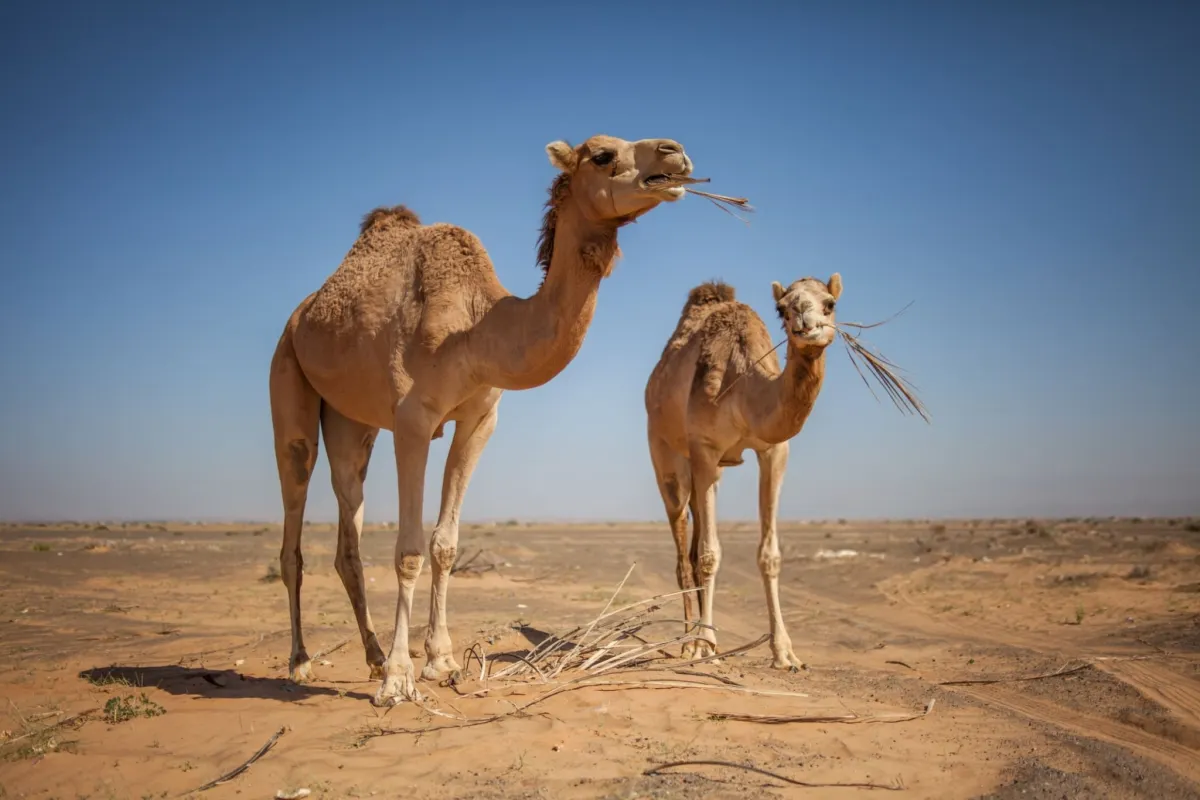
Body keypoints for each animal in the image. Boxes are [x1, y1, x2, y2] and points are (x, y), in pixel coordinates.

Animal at [269, 134, 695, 706]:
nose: (675, 154)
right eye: (603, 155)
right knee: (294, 519)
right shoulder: (413, 420)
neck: (475, 328)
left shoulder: (479, 421)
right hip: (289, 380)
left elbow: (445, 544)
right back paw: (301, 661)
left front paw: (441, 662)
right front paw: (399, 679)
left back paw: (373, 654)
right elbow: (408, 549)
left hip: (349, 421)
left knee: (348, 518)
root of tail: (302, 314)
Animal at [644, 274, 843, 670]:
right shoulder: (705, 447)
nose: (806, 323)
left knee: (692, 547)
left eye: (829, 303)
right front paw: (704, 646)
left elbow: (769, 555)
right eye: (782, 309)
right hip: (666, 454)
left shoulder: (774, 450)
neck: (745, 387)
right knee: (682, 551)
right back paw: (688, 642)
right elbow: (709, 556)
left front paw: (785, 653)